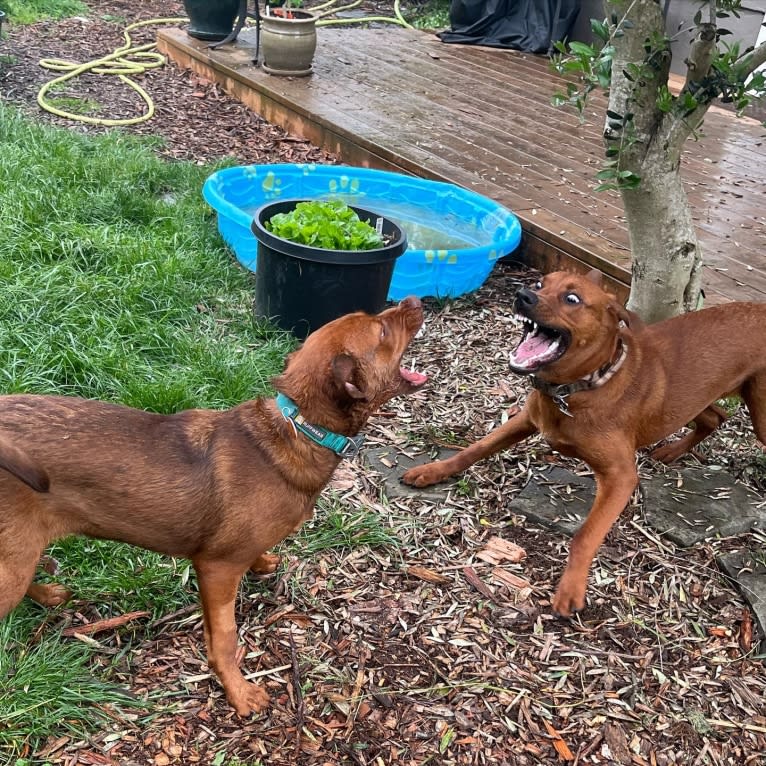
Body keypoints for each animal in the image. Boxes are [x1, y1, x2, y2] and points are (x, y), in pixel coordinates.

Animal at [0, 298, 426, 712]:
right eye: (382, 331)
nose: (414, 300)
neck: (297, 429)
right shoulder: (216, 568)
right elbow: (223, 637)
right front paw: (239, 692)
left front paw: (262, 562)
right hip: (14, 565)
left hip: (17, 555)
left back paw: (49, 595)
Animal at [404, 272, 764, 620]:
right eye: (539, 284)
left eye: (572, 299)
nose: (523, 295)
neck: (578, 389)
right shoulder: (525, 420)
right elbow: (475, 448)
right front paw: (432, 470)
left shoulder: (620, 476)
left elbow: (585, 535)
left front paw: (571, 589)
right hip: (694, 397)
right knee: (715, 417)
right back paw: (672, 450)